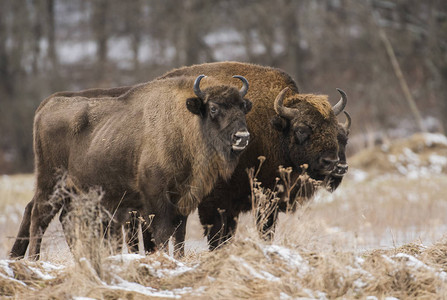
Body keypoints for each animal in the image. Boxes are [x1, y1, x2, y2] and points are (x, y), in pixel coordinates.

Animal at [10, 74, 254, 258]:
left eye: (242, 107)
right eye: (213, 108)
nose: (242, 137)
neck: (183, 124)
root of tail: (48, 104)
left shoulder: (183, 198)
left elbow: (179, 234)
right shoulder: (156, 198)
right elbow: (162, 232)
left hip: (75, 190)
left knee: (63, 218)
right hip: (51, 182)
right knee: (39, 216)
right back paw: (33, 259)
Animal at [159, 61, 352, 248]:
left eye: (334, 130)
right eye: (301, 129)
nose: (332, 162)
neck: (274, 127)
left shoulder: (266, 199)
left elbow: (263, 230)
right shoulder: (215, 202)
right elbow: (216, 236)